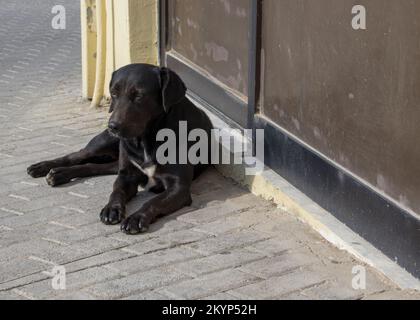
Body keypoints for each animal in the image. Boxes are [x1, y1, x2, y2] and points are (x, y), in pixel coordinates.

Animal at [27, 63, 213, 234]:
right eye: (114, 93)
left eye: (138, 95)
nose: (112, 126)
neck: (146, 140)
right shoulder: (127, 176)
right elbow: (116, 192)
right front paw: (112, 208)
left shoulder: (179, 187)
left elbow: (152, 201)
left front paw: (136, 218)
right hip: (103, 143)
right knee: (77, 155)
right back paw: (46, 168)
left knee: (92, 166)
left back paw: (59, 174)